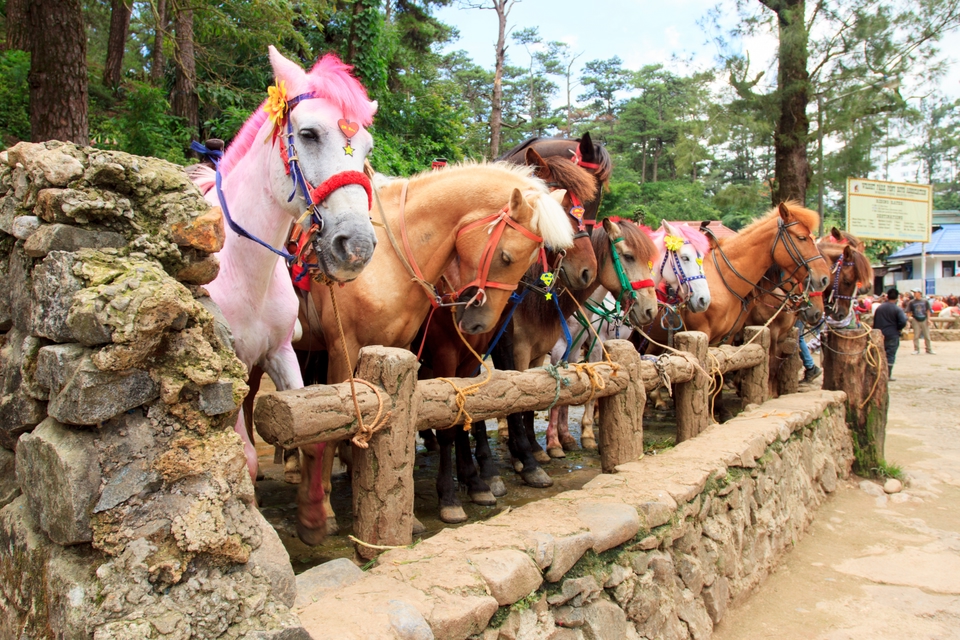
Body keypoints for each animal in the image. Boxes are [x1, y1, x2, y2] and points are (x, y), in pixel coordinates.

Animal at [188, 47, 378, 545]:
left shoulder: (279, 353)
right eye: (308, 134)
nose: (356, 246)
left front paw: (314, 517)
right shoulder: (227, 370)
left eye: (367, 148)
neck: (243, 268)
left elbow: (312, 433)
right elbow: (245, 456)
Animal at [293, 162, 575, 538]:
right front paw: (323, 509)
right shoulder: (348, 350)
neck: (387, 259)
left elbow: (456, 422)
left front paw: (470, 486)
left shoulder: (439, 357)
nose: (478, 322)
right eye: (505, 257)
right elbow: (342, 423)